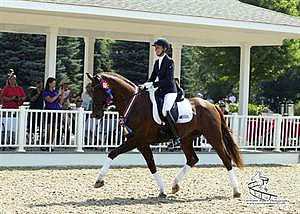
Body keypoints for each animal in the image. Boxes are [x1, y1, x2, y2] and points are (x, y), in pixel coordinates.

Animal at [86, 72, 244, 198]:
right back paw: (175, 185)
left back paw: (236, 190)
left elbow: (113, 153)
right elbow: (151, 165)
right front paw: (162, 190)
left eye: (97, 90)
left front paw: (99, 180)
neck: (133, 103)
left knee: (226, 159)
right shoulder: (141, 143)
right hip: (186, 138)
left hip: (213, 137)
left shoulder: (137, 140)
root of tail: (212, 105)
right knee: (192, 159)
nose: (96, 115)